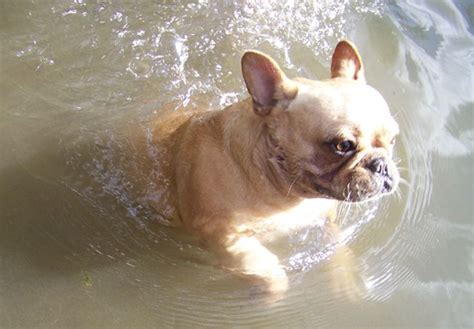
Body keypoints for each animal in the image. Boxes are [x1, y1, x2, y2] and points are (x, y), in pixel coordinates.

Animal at [130, 39, 400, 296]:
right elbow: (269, 272)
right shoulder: (224, 236)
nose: (381, 165)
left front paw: (345, 273)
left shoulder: (325, 219)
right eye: (342, 145)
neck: (285, 190)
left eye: (393, 139)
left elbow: (337, 244)